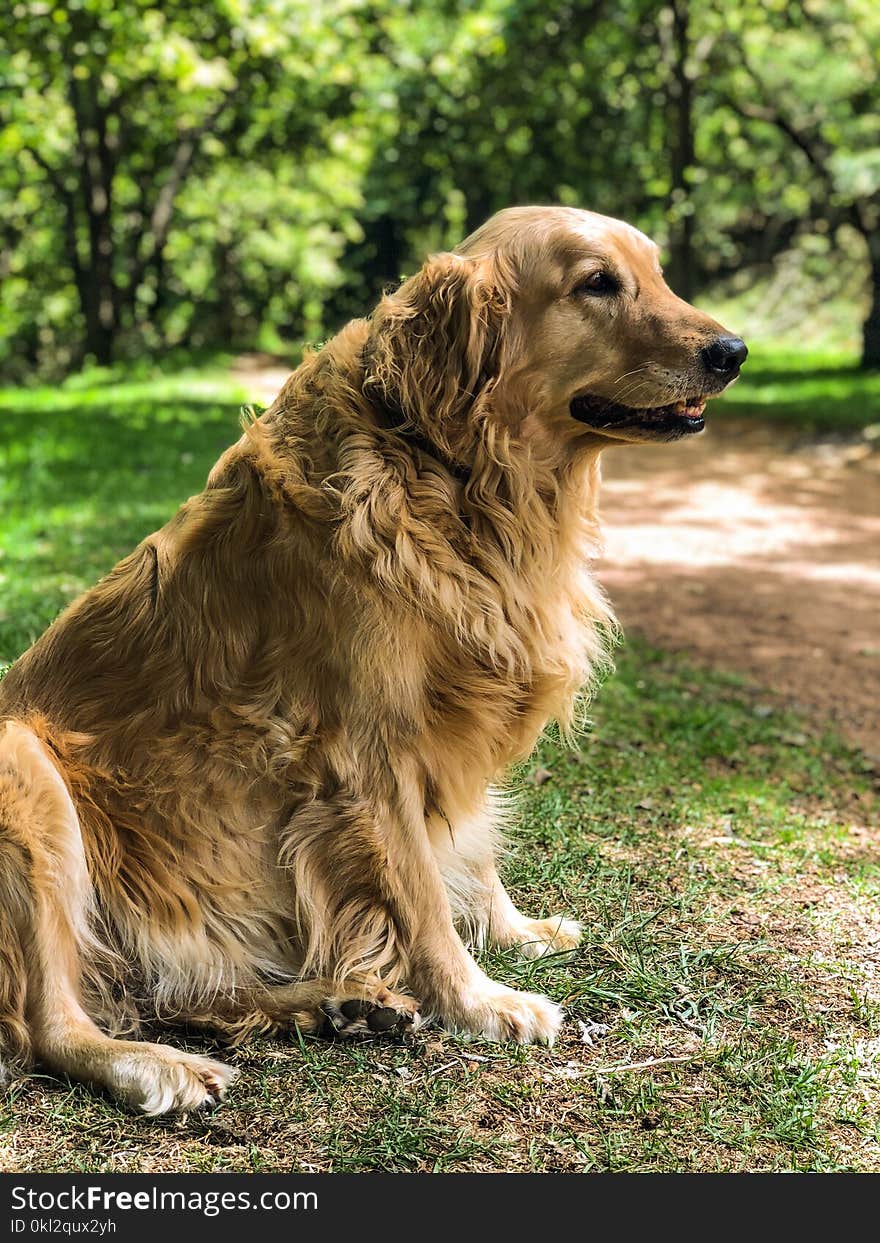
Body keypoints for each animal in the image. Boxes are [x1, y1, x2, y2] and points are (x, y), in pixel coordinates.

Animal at [0, 206, 745, 1118]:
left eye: (657, 272)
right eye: (597, 283)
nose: (734, 351)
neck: (454, 474)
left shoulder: (454, 725)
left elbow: (472, 852)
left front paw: (516, 932)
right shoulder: (368, 751)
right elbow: (420, 893)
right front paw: (479, 999)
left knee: (183, 994)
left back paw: (338, 1003)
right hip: (25, 767)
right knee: (49, 1023)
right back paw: (157, 1064)